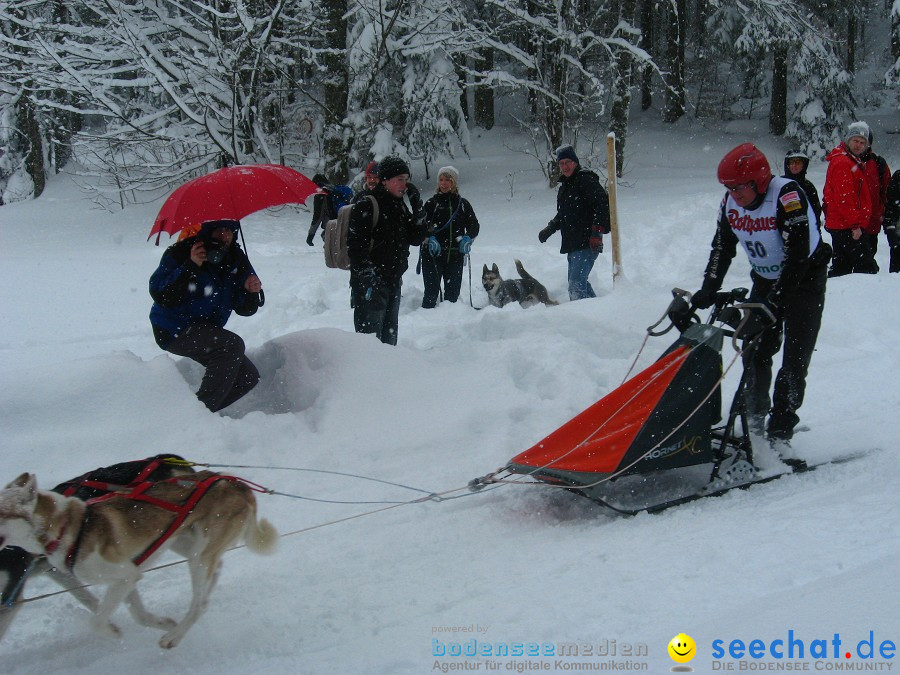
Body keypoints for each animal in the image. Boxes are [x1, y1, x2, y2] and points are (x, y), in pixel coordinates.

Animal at [0, 470, 278, 648]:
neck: (71, 527)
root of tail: (237, 484)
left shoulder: (125, 576)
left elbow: (96, 620)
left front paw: (112, 631)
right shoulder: (127, 576)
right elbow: (139, 615)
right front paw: (162, 622)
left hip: (198, 557)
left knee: (198, 603)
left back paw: (174, 637)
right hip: (188, 546)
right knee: (210, 584)